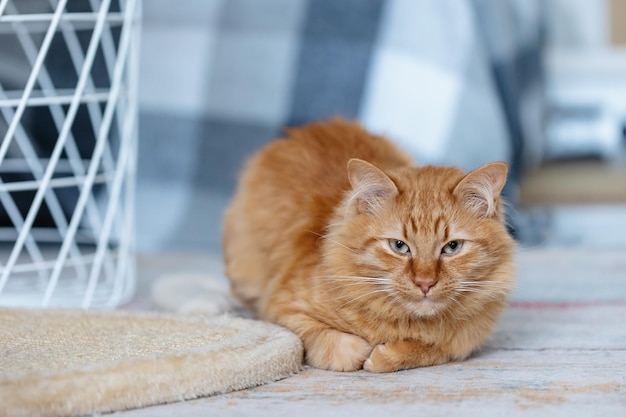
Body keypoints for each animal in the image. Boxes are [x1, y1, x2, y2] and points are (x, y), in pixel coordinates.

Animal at [223, 118, 512, 370]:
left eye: (452, 247)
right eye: (399, 246)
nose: (425, 283)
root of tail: (305, 129)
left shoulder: (461, 343)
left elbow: (430, 349)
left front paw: (385, 355)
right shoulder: (282, 308)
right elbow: (339, 347)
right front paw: (364, 351)